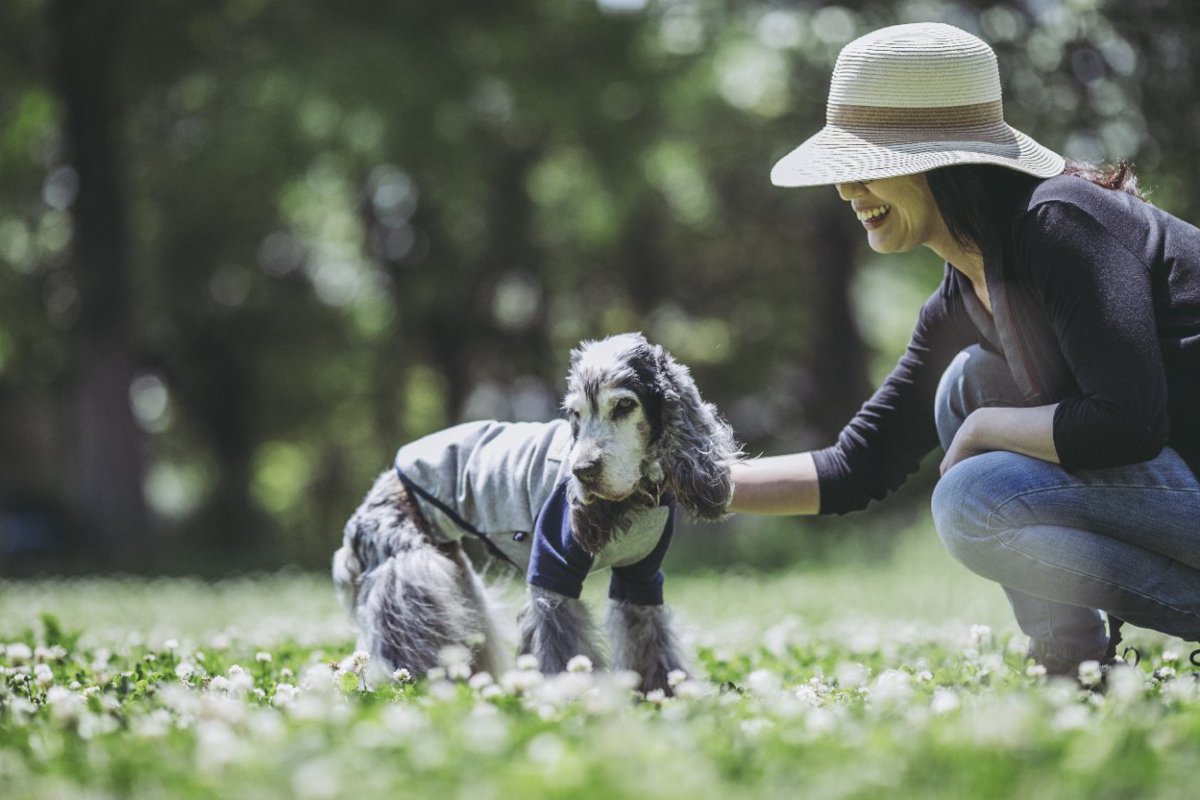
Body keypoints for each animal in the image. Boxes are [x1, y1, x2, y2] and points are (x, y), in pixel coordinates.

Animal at [331, 331, 739, 695]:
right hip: (413, 581)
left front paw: (666, 697)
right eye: (575, 414)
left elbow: (652, 645)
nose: (582, 471)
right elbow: (561, 650)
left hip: (458, 581)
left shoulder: (641, 580)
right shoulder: (552, 574)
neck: (634, 498)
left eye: (624, 406)